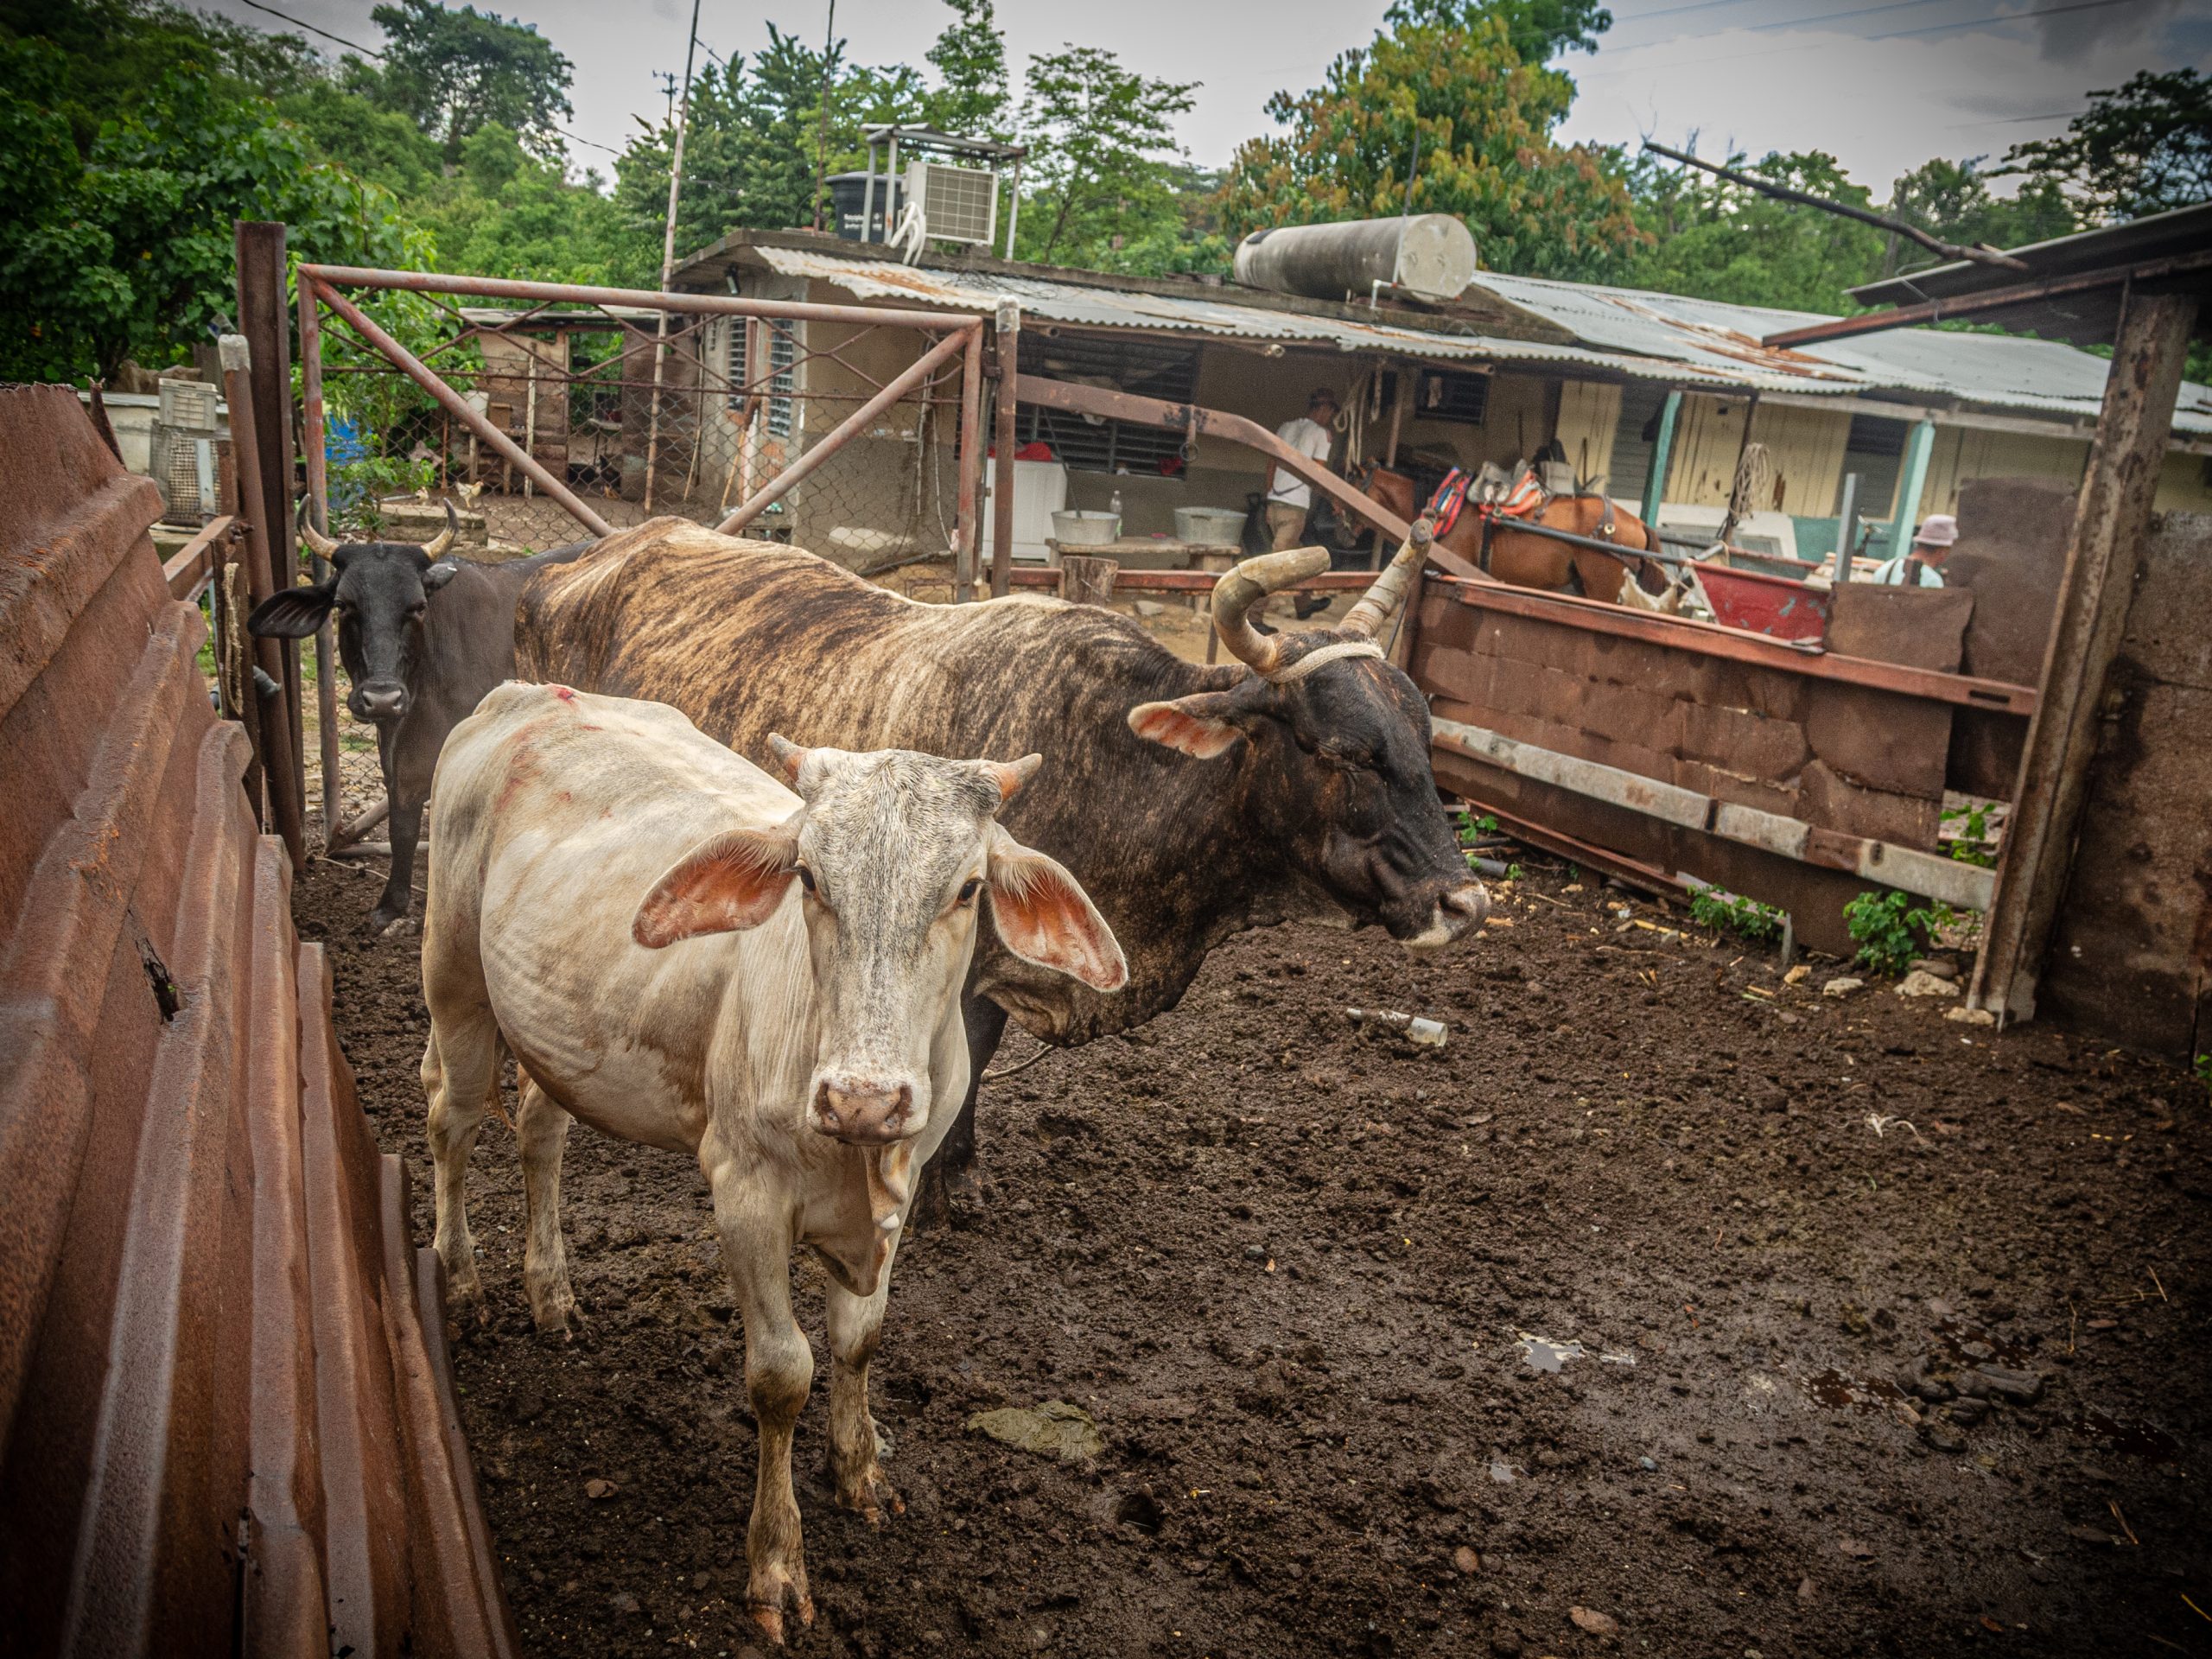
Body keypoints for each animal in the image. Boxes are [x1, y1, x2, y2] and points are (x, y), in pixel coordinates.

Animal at [251, 499, 593, 929]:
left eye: (417, 607)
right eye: (343, 606)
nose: (382, 698)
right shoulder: (400, 765)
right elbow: (403, 829)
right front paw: (390, 907)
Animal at [417, 685, 1123, 1654]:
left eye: (968, 889)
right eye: (810, 880)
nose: (864, 1098)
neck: (858, 1158)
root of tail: (527, 695)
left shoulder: (899, 1199)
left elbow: (860, 1339)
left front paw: (861, 1473)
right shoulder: (744, 1194)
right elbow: (783, 1375)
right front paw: (778, 1564)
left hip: (556, 1039)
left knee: (538, 1136)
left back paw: (552, 1296)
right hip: (454, 987)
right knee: (449, 1124)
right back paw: (462, 1285)